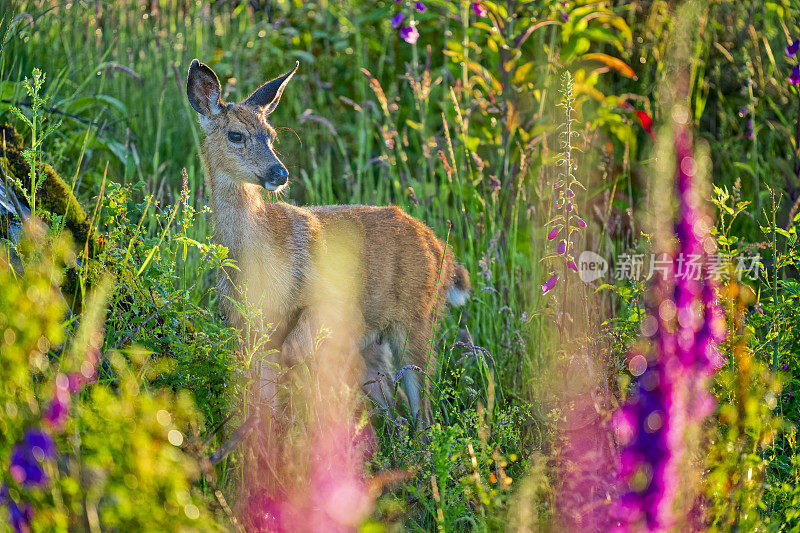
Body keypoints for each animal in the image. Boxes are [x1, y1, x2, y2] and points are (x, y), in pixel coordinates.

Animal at [186, 58, 468, 426]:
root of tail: (441, 249)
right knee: (394, 404)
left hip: (417, 318)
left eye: (272, 135)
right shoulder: (247, 325)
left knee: (422, 407)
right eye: (236, 135)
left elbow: (295, 357)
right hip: (379, 340)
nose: (279, 173)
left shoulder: (332, 304)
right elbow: (262, 398)